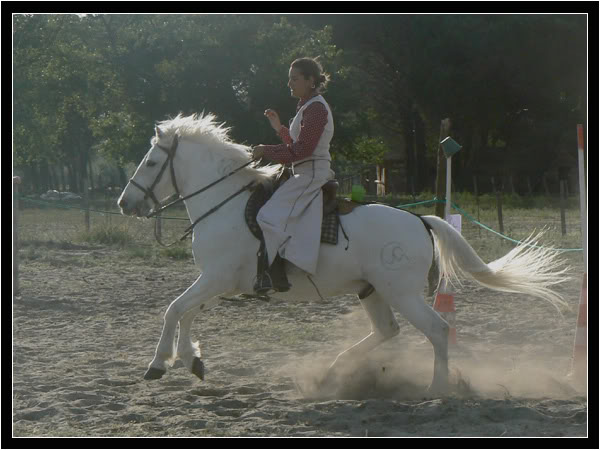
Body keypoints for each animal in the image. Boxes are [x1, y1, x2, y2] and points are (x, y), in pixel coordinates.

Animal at [118, 113, 572, 394]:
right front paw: (190, 360)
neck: (226, 203)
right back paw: (335, 370)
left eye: (152, 161)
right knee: (388, 331)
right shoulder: (219, 283)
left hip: (402, 293)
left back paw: (437, 388)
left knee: (438, 330)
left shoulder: (216, 278)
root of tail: (420, 221)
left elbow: (174, 310)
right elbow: (186, 312)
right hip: (372, 291)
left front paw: (158, 363)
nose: (125, 203)